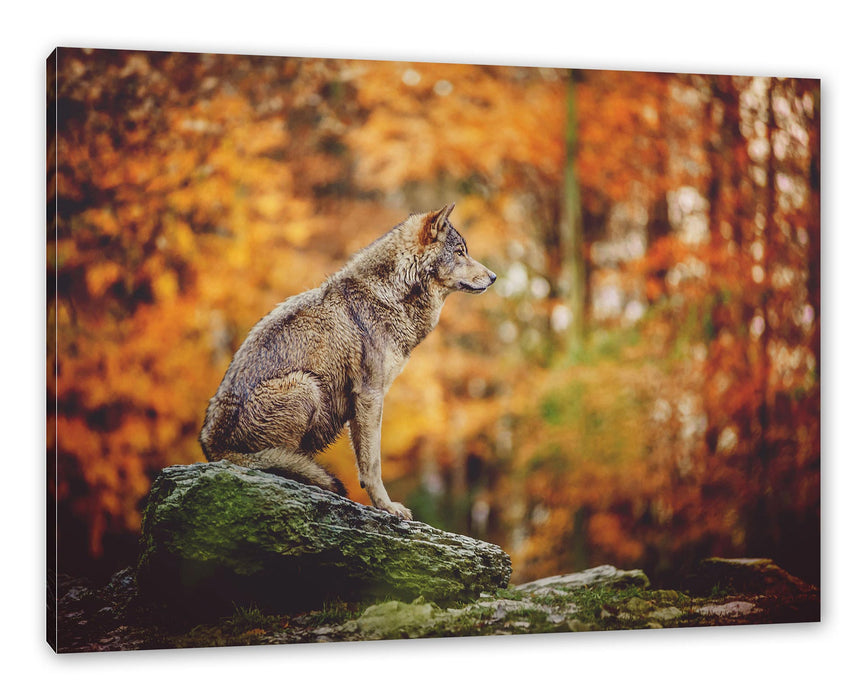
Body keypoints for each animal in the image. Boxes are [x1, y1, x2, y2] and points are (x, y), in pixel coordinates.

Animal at [199, 203, 496, 519]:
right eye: (460, 252)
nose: (494, 277)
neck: (389, 295)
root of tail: (212, 447)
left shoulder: (361, 403)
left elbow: (366, 461)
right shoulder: (370, 395)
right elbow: (372, 464)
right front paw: (388, 507)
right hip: (307, 386)